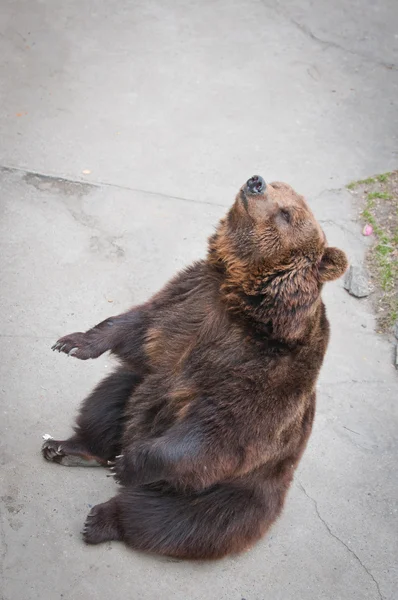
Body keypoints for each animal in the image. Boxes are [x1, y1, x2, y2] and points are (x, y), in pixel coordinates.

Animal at [42, 176, 348, 560]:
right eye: (280, 185)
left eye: (287, 213)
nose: (256, 182)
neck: (244, 301)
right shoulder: (190, 299)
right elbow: (141, 327)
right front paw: (75, 342)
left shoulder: (270, 370)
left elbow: (219, 430)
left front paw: (128, 463)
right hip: (138, 392)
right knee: (108, 399)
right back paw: (69, 448)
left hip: (235, 489)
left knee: (182, 518)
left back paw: (103, 518)